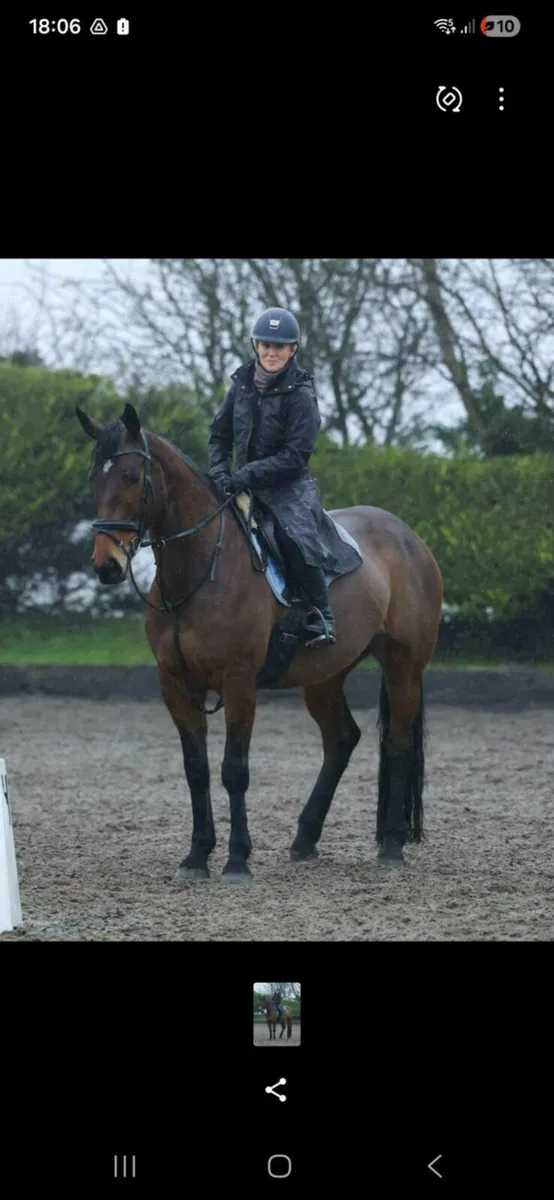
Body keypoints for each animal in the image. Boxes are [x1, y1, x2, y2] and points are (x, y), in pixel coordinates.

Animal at [75, 402, 443, 885]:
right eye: (93, 479)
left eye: (132, 477)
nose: (107, 565)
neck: (200, 570)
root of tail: (407, 536)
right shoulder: (175, 684)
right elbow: (196, 769)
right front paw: (196, 856)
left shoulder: (239, 682)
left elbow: (234, 770)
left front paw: (236, 860)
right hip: (324, 676)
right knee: (342, 739)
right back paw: (305, 838)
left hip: (403, 665)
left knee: (397, 742)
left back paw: (392, 844)